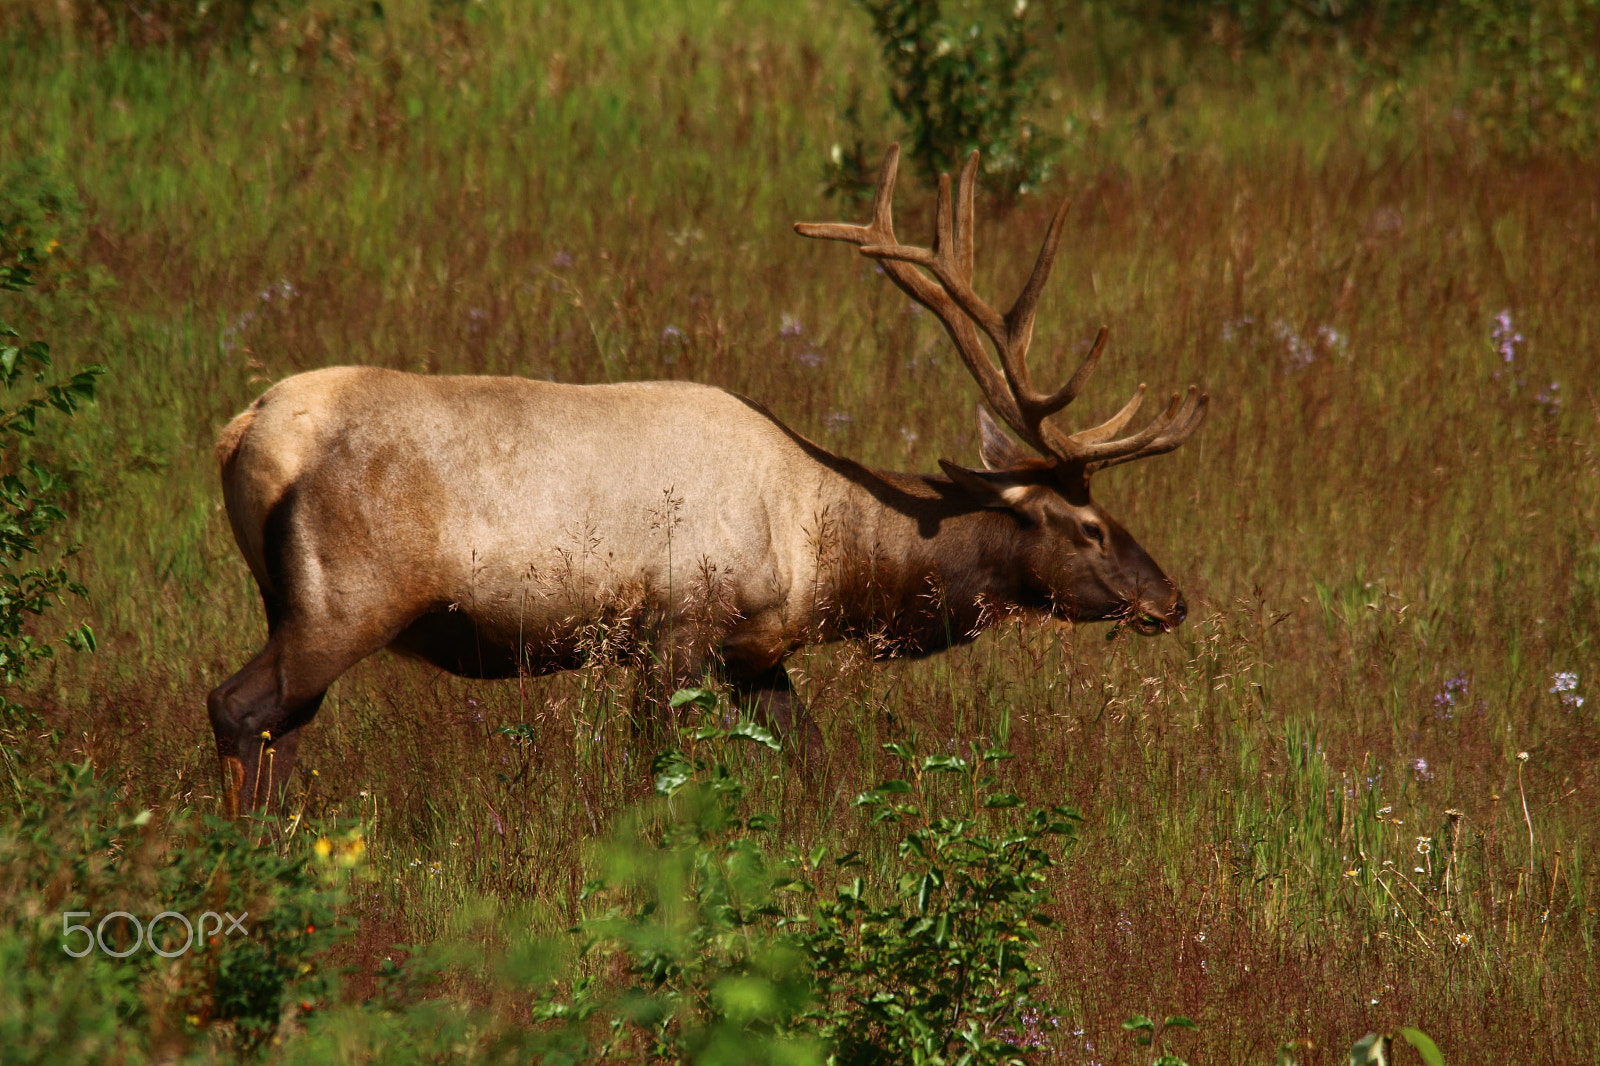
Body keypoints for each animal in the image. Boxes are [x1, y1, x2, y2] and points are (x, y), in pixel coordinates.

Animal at [207, 145, 1207, 815]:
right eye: (1088, 526)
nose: (1172, 599)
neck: (819, 553)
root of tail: (243, 433)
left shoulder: (755, 651)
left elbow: (816, 764)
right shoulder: (674, 627)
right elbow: (653, 775)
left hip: (289, 601)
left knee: (277, 725)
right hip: (348, 600)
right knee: (239, 706)